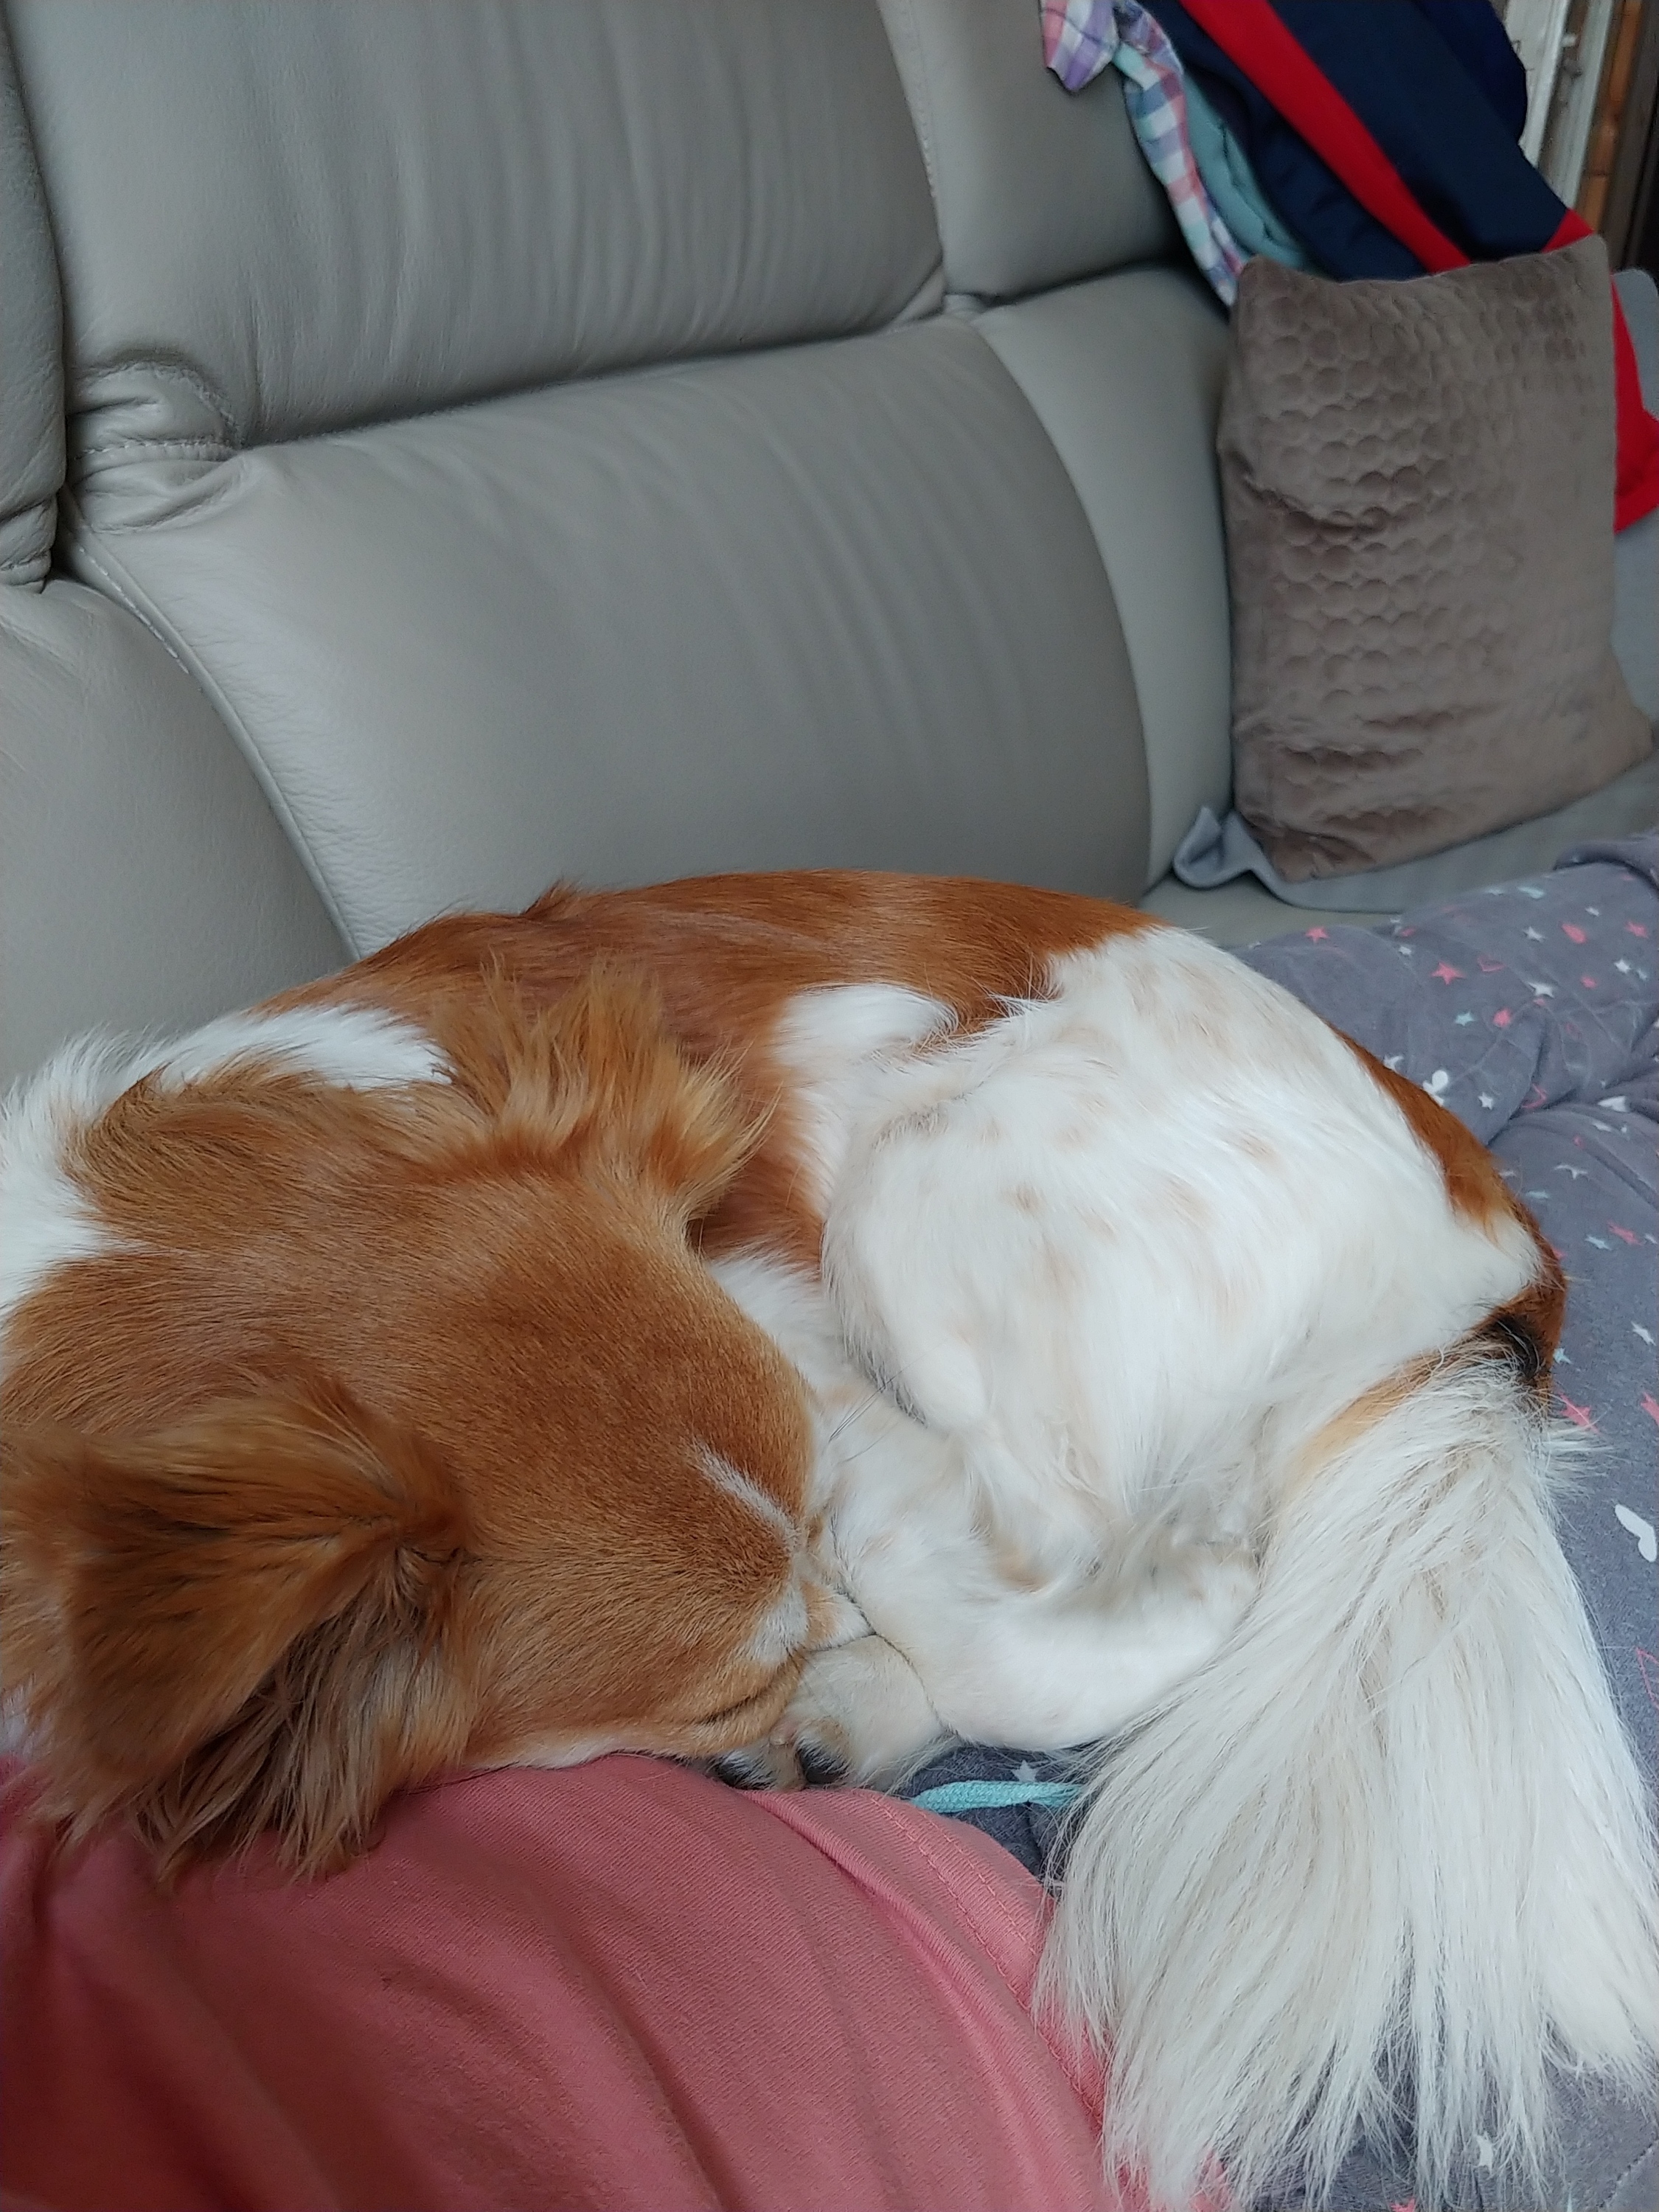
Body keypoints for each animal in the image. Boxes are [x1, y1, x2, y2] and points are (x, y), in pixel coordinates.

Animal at [3, 870, 1655, 2210]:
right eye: (718, 1685)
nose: (789, 1677)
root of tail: (1506, 1251)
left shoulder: (804, 1350)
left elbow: (994, 1607)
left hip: (924, 1172)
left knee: (1087, 1565)